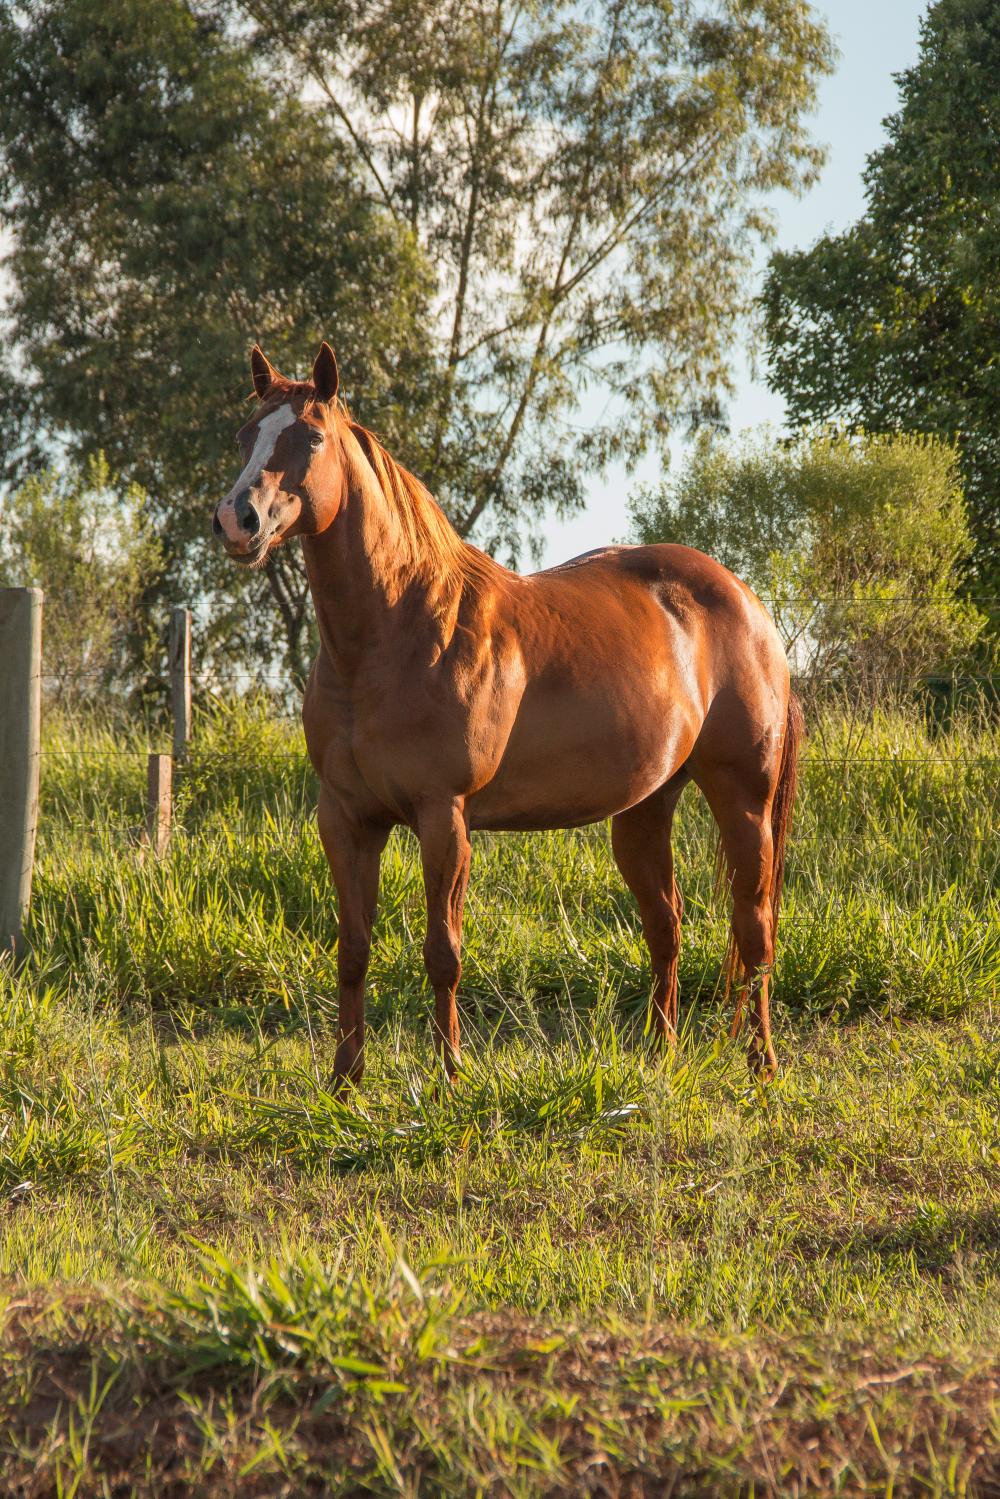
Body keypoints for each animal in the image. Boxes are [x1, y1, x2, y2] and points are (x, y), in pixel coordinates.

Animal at [213, 342, 803, 1084]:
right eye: (244, 436)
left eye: (312, 437)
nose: (237, 520)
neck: (396, 633)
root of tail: (748, 603)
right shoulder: (345, 819)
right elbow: (353, 950)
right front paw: (344, 1083)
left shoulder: (444, 817)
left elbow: (443, 952)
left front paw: (448, 1078)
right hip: (646, 806)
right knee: (665, 926)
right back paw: (660, 1057)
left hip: (743, 797)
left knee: (754, 931)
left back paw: (762, 1065)